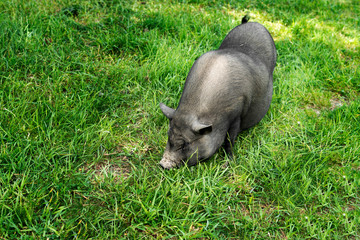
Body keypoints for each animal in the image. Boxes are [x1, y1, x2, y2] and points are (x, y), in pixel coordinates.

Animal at [159, 15, 278, 169]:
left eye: (185, 144)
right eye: (168, 137)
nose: (163, 163)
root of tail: (254, 23)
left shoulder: (237, 114)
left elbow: (229, 141)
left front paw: (228, 163)